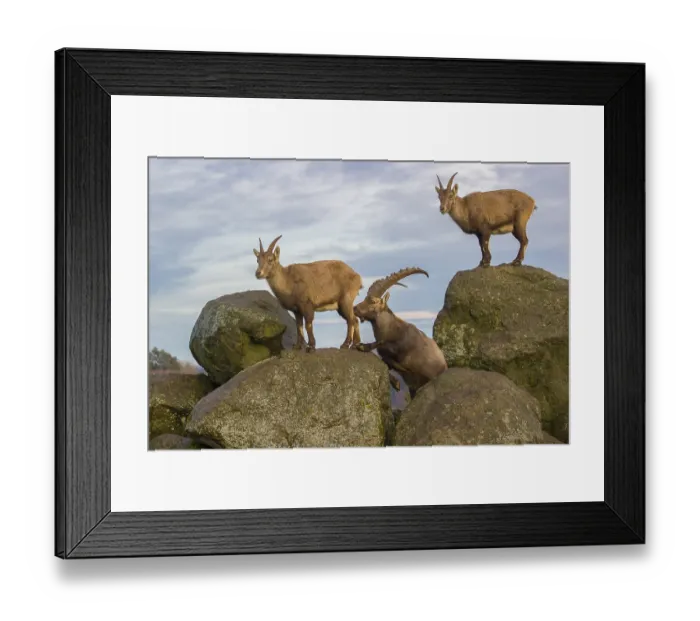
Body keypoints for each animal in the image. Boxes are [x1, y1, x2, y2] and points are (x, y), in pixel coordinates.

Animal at [353, 267, 447, 396]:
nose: (355, 308)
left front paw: (362, 346)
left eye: (373, 301)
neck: (392, 330)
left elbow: (384, 353)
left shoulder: (405, 356)